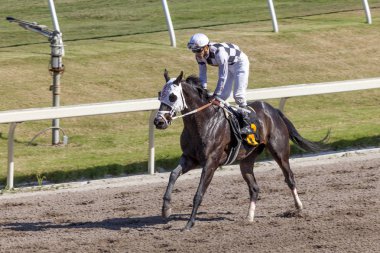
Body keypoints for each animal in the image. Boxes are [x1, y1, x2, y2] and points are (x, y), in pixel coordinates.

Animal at [153, 70, 326, 230]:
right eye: (160, 94)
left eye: (173, 97)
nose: (158, 121)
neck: (204, 122)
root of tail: (273, 110)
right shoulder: (190, 158)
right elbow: (173, 175)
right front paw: (166, 209)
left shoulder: (211, 162)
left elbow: (199, 193)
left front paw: (189, 223)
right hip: (247, 160)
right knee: (254, 188)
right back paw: (249, 217)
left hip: (279, 151)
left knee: (289, 178)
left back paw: (299, 207)